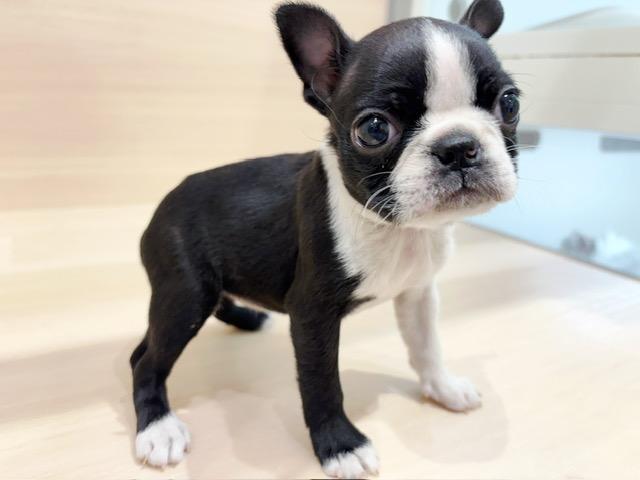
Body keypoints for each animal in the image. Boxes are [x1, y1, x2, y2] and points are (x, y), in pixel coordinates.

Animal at [130, 0, 519, 477]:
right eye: (374, 129)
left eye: (509, 103)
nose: (459, 146)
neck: (397, 230)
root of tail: (163, 202)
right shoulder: (312, 313)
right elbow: (322, 382)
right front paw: (340, 445)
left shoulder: (418, 293)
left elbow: (428, 346)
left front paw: (443, 388)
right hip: (186, 293)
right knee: (147, 359)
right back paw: (158, 429)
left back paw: (247, 318)